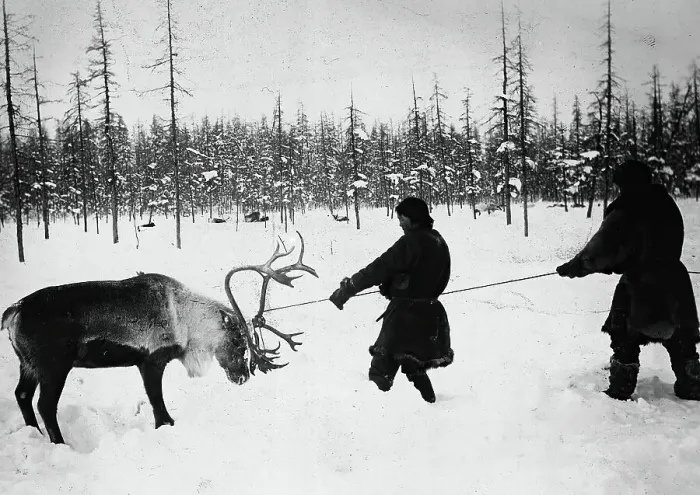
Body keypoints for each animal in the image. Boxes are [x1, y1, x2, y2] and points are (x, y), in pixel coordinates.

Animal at [1, 231, 317, 445]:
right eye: (237, 342)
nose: (243, 377)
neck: (186, 318)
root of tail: (14, 311)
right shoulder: (152, 360)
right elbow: (158, 405)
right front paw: (166, 425)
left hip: (28, 363)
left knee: (22, 395)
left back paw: (33, 433)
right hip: (54, 366)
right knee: (44, 404)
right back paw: (60, 444)